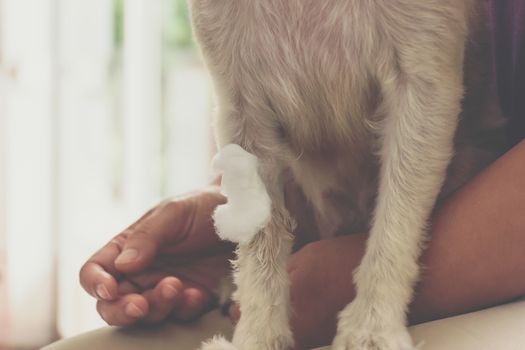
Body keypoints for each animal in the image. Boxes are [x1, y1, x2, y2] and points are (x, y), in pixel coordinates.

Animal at [188, 0, 504, 350]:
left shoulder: (424, 76)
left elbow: (396, 221)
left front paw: (373, 325)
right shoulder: (240, 104)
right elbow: (260, 238)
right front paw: (258, 335)